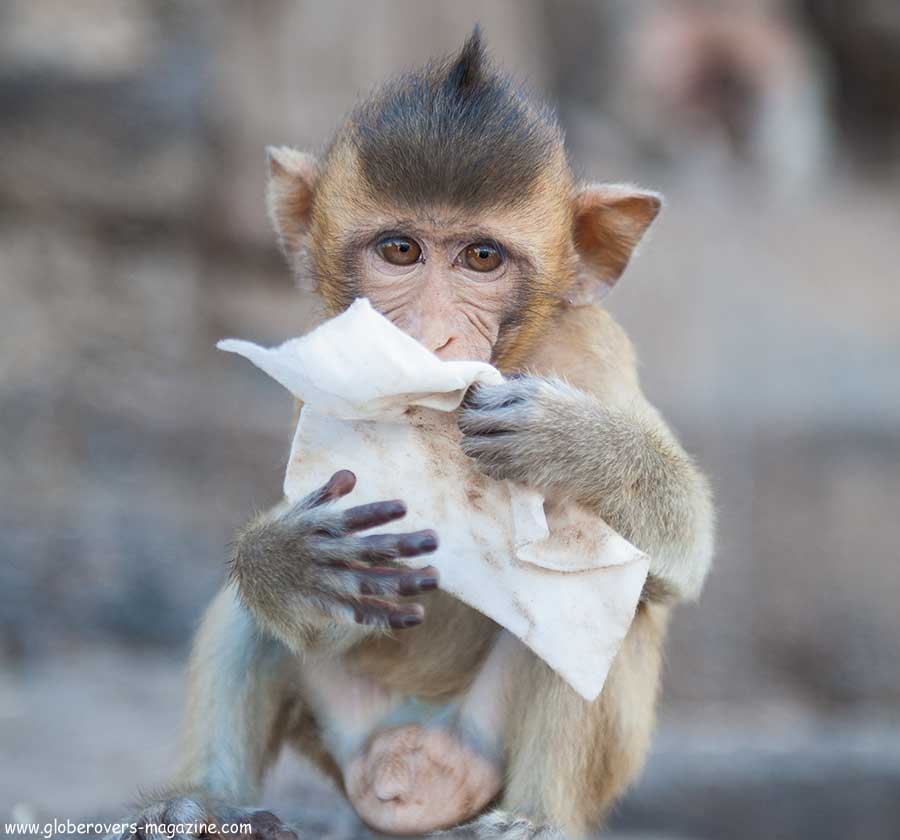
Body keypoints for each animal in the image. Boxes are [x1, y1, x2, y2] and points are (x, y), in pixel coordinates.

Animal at [116, 31, 712, 840]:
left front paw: (563, 440)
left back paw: (534, 818)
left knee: (604, 603)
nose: (432, 335)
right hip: (343, 730)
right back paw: (199, 802)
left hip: (484, 742)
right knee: (254, 620)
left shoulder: (595, 354)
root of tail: (407, 767)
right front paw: (285, 560)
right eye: (400, 251)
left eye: (482, 258)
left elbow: (684, 545)